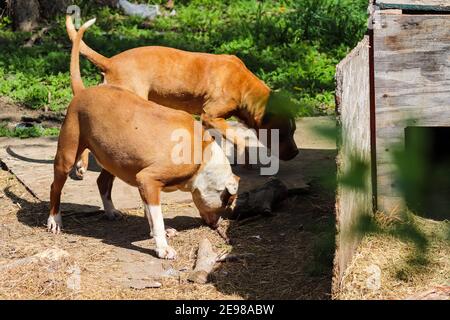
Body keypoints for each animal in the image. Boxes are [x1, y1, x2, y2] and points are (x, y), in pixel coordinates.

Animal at [48, 18, 241, 260]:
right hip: (67, 155)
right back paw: (54, 220)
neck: (204, 155)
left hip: (114, 158)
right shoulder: (148, 180)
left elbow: (150, 215)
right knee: (56, 186)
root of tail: (83, 91)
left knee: (102, 182)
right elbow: (157, 218)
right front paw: (163, 246)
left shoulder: (144, 184)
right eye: (228, 202)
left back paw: (111, 211)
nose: (218, 225)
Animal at [65, 15, 298, 178]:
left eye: (293, 131)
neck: (244, 85)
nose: (296, 153)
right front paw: (247, 161)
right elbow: (241, 140)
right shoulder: (211, 116)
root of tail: (110, 62)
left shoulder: (207, 122)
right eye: (282, 133)